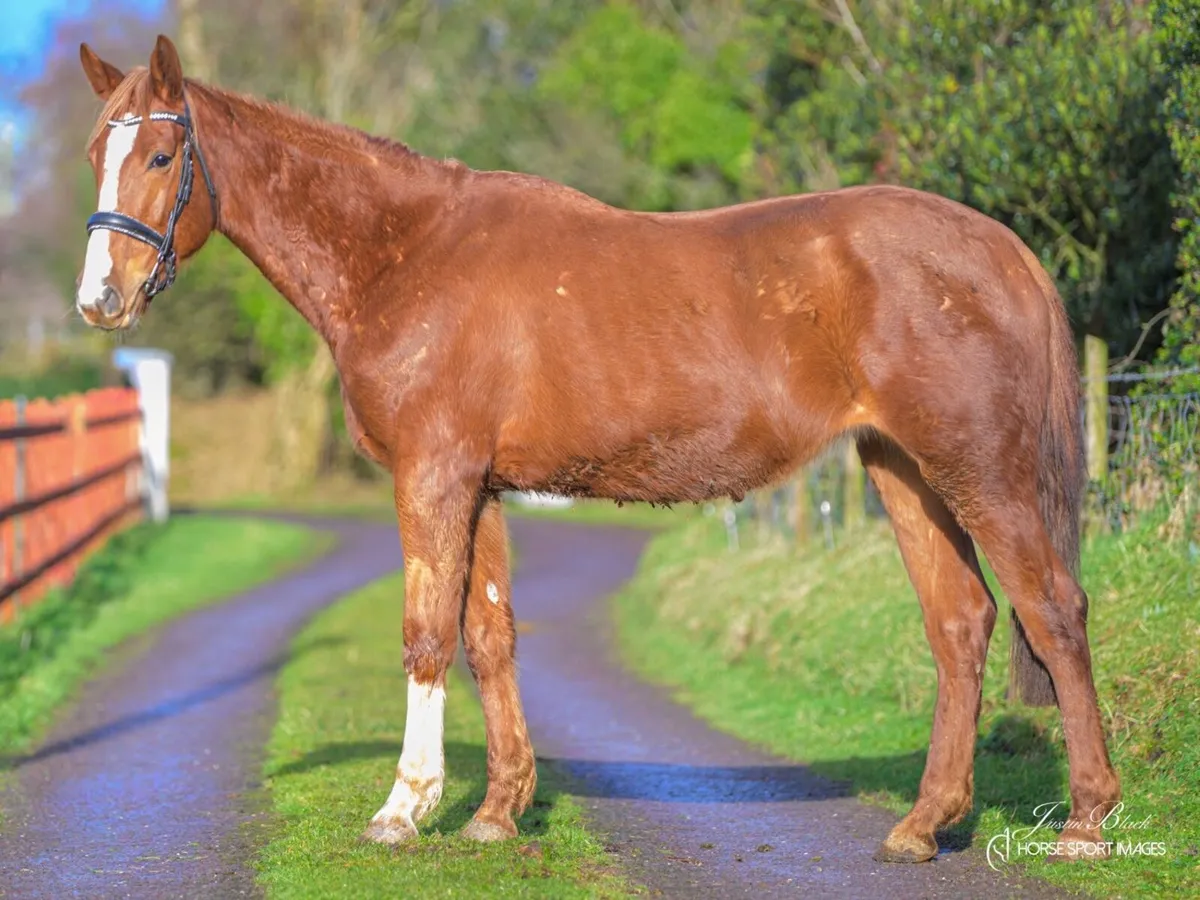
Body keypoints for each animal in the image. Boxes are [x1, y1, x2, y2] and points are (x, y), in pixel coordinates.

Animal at [75, 35, 1119, 863]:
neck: (406, 252)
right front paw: (497, 811)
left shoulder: (433, 476)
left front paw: (405, 808)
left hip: (980, 470)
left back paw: (1085, 822)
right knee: (961, 623)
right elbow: (489, 637)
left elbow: (425, 634)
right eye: (97, 152)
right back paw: (924, 824)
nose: (100, 301)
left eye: (162, 152)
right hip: (902, 470)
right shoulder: (481, 486)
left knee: (1053, 611)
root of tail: (1003, 247)